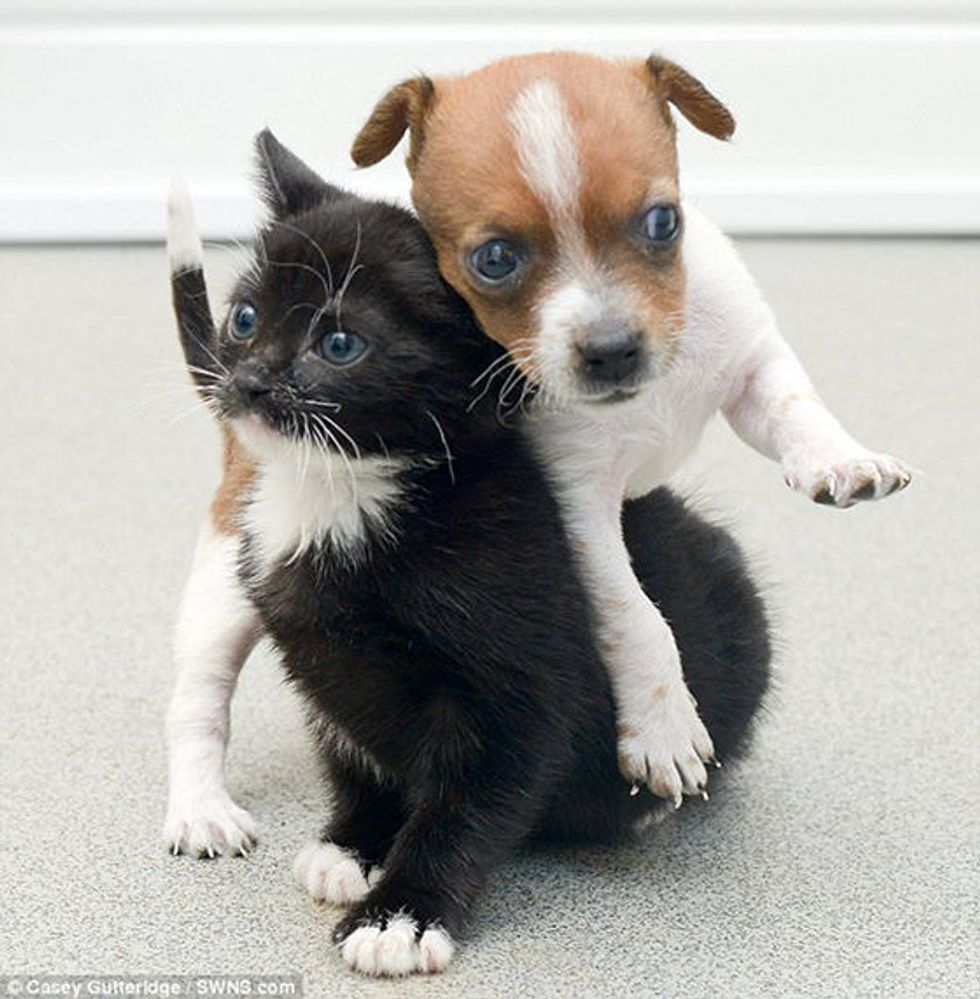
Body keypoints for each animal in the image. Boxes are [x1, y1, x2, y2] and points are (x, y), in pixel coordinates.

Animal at [167, 131, 764, 976]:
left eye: (339, 343)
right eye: (246, 316)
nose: (247, 380)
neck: (346, 493)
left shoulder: (523, 681)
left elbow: (469, 804)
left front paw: (401, 912)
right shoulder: (324, 666)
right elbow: (357, 755)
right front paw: (353, 842)